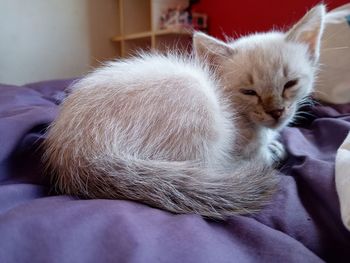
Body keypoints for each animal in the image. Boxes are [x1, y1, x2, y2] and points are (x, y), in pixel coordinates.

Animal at [43, 5, 326, 221]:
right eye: (249, 92)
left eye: (290, 84)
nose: (276, 111)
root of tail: (77, 154)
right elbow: (258, 155)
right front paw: (273, 151)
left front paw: (275, 143)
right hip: (198, 107)